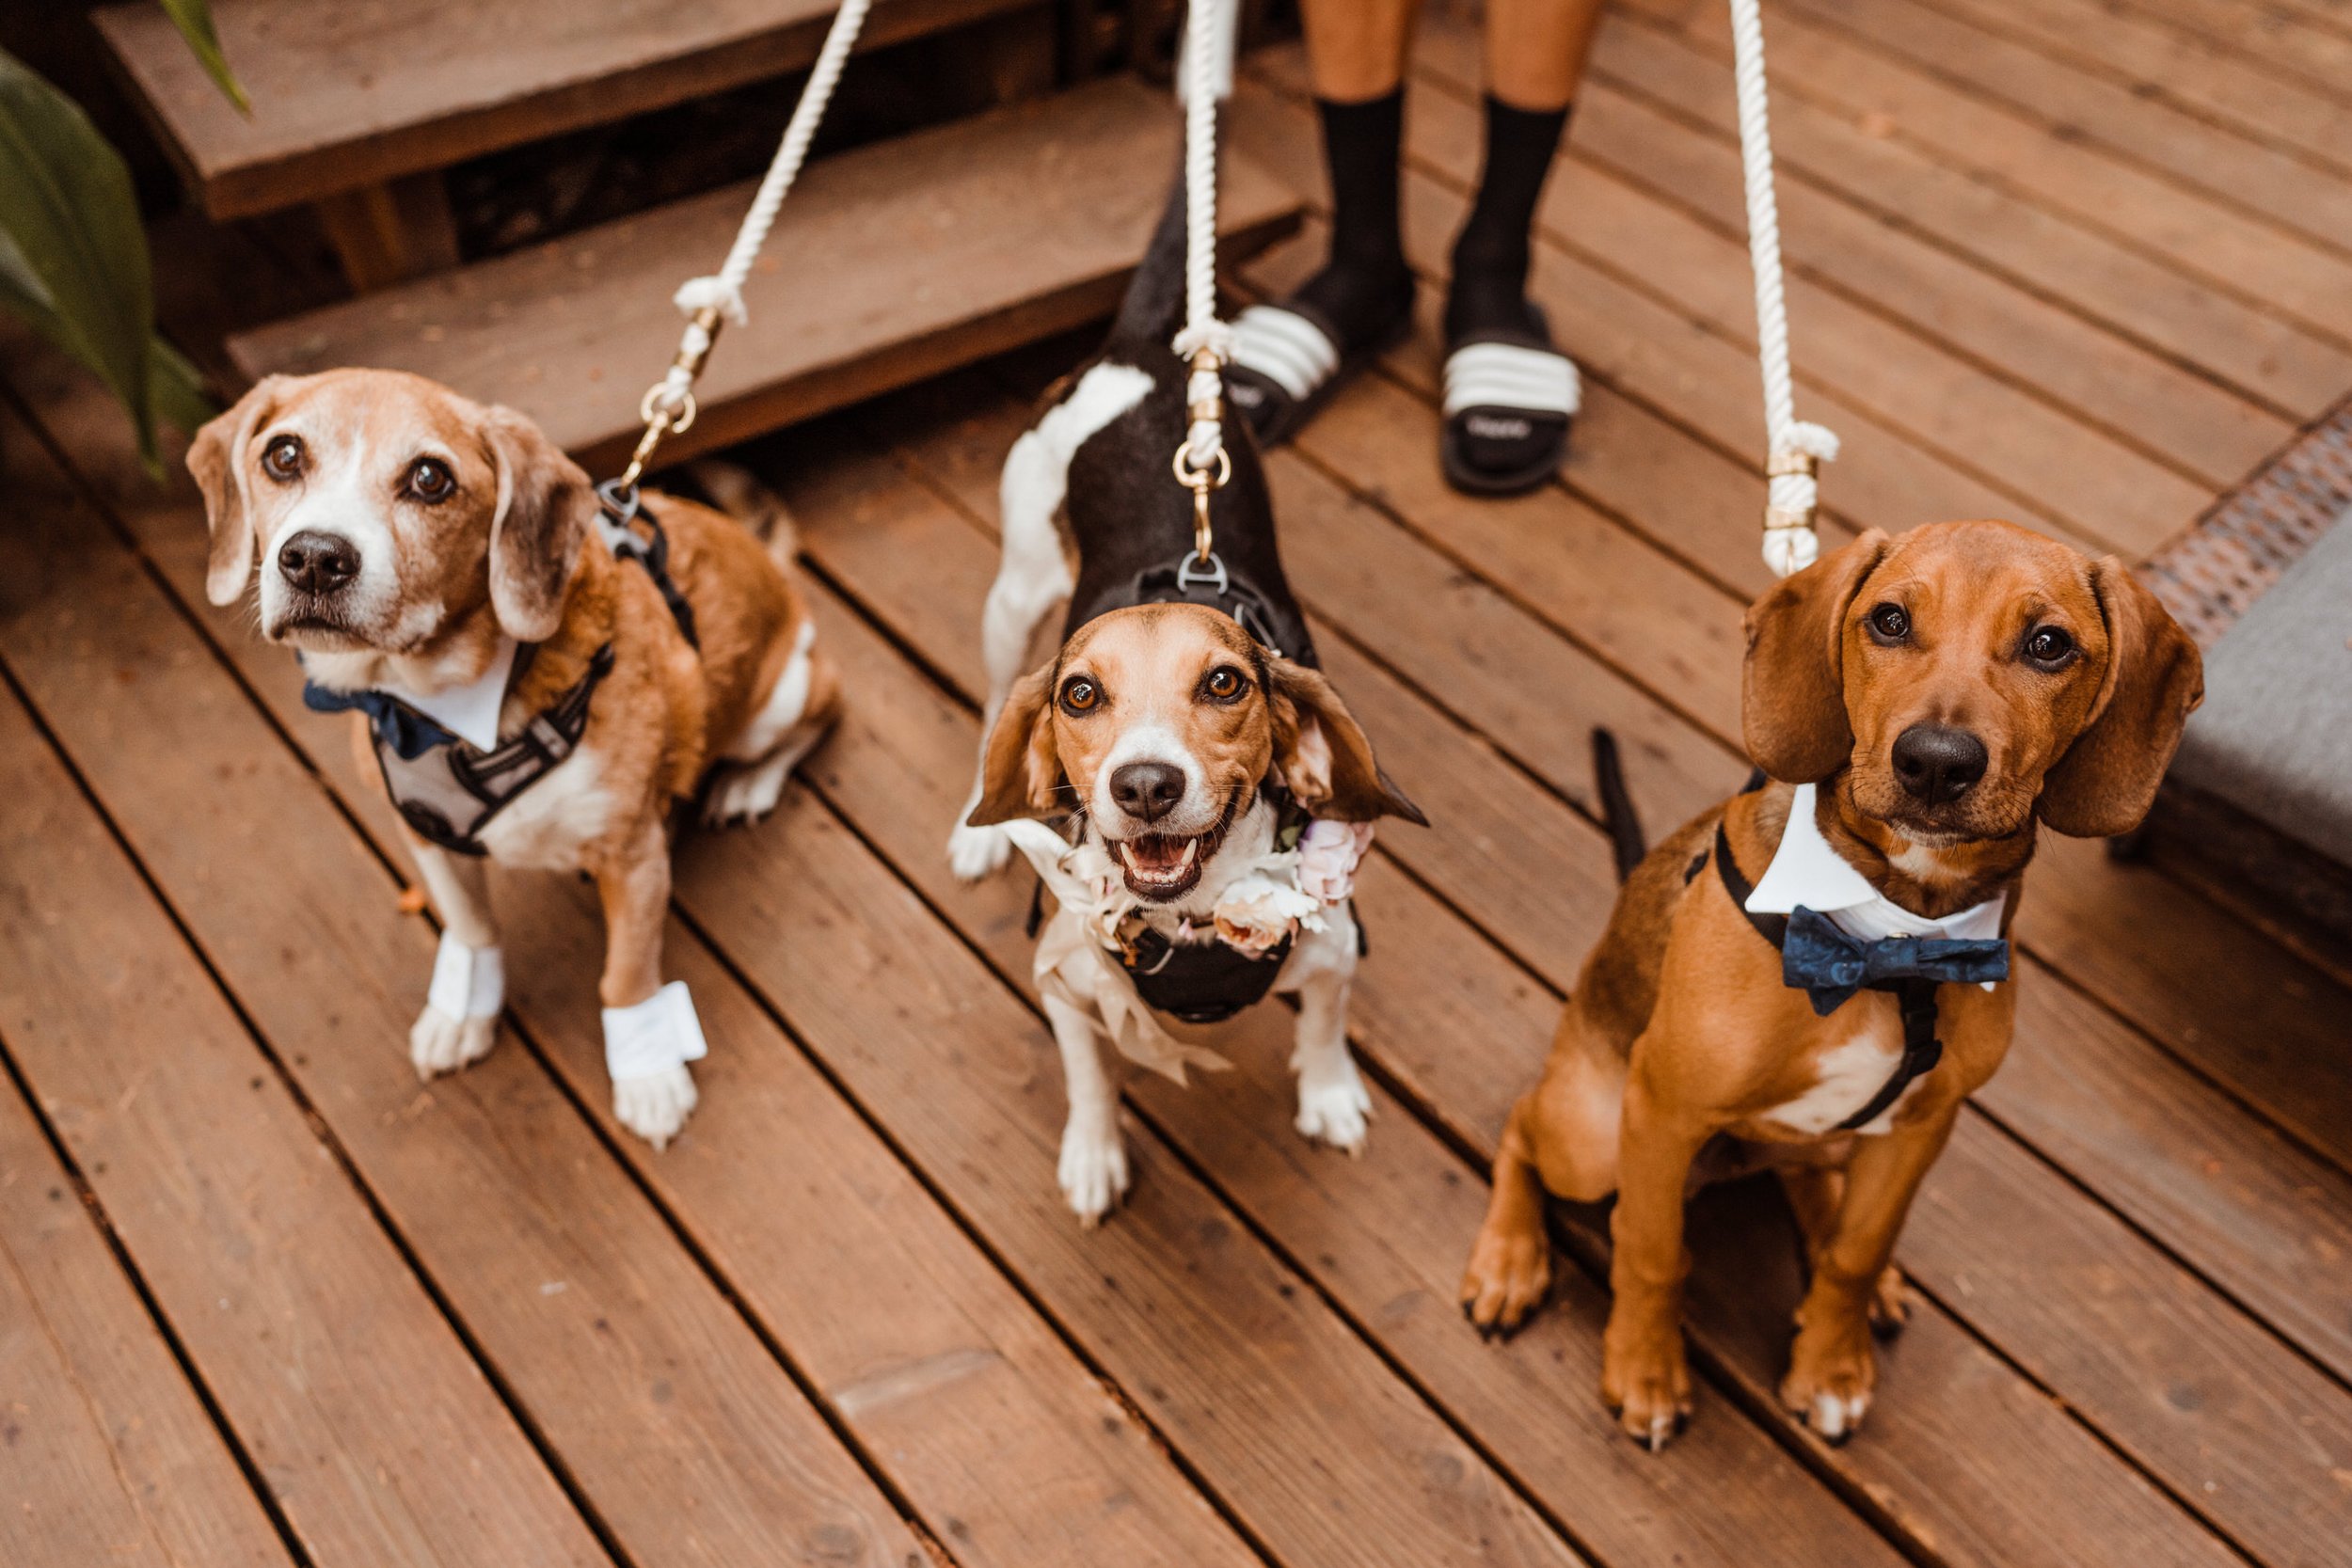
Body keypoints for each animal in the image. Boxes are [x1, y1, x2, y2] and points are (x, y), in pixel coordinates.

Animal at [1458, 524, 2192, 1448]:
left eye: (2049, 644)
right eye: (1889, 620)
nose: (1935, 764)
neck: (1891, 943)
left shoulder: (1920, 1127)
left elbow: (1853, 1250)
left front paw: (1832, 1364)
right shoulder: (1662, 1108)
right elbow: (1653, 1251)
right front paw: (1645, 1370)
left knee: (1813, 1182)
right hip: (1590, 1135)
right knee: (1522, 1130)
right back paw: (1509, 1259)